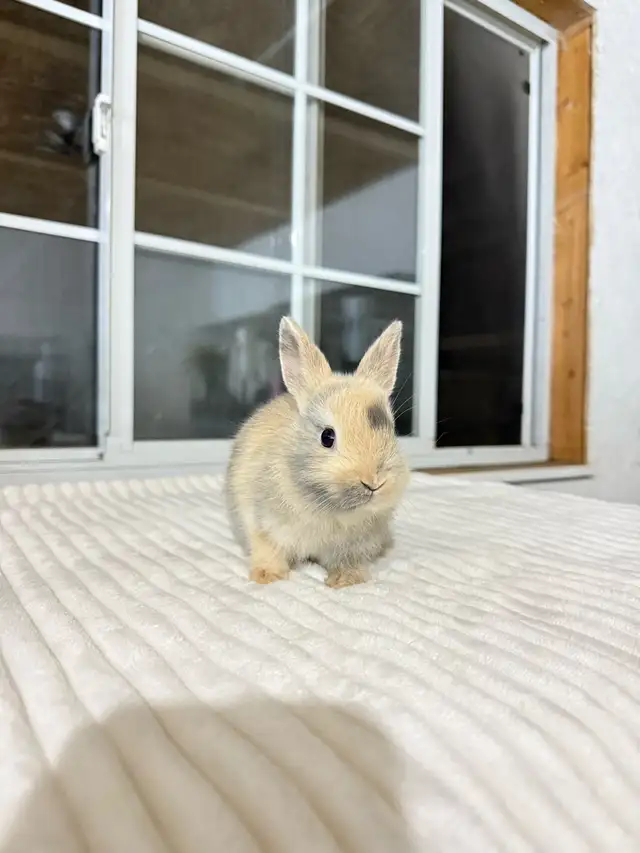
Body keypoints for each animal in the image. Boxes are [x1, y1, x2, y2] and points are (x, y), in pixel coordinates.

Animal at [225, 316, 410, 588]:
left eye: (392, 430)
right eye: (327, 437)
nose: (373, 482)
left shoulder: (353, 546)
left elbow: (347, 560)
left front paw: (346, 580)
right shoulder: (262, 525)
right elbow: (267, 549)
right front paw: (268, 577)